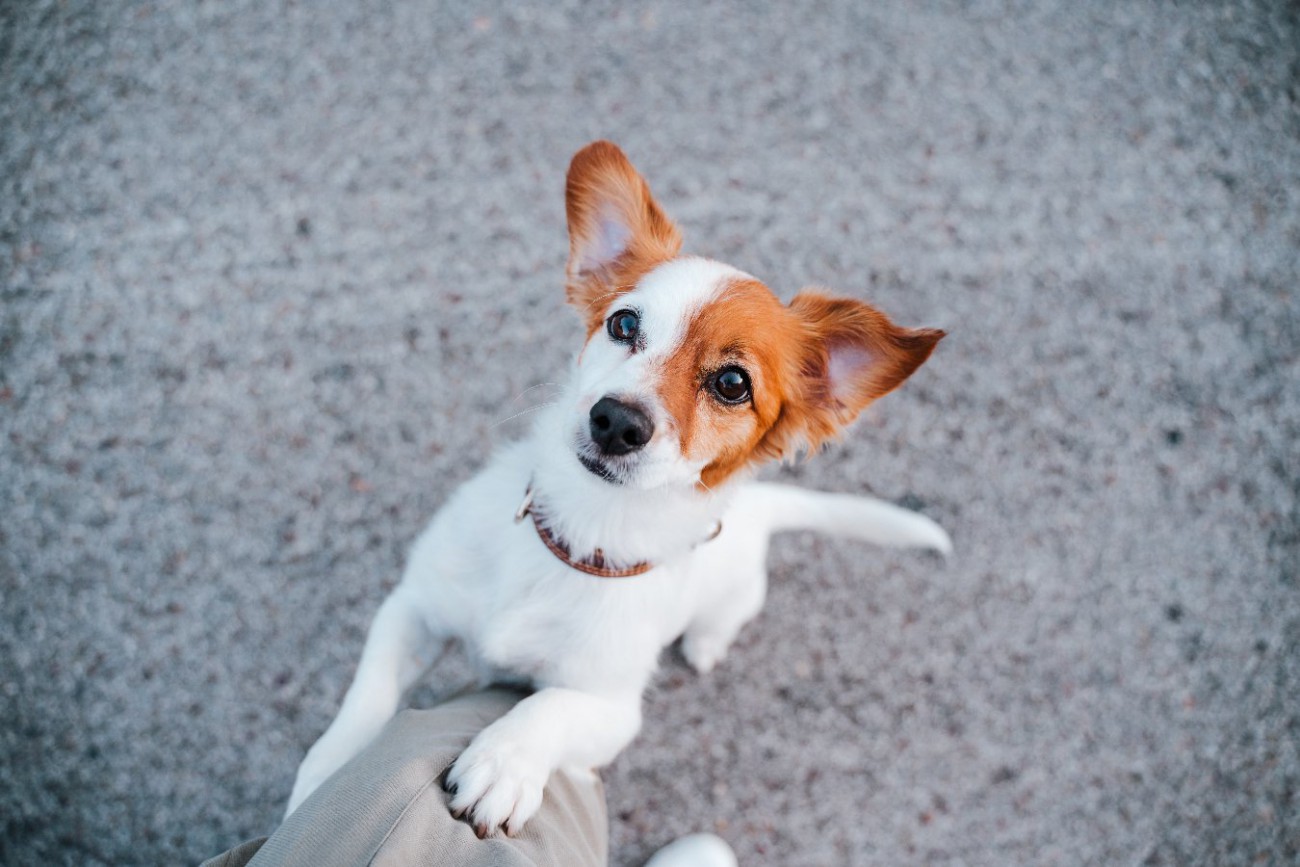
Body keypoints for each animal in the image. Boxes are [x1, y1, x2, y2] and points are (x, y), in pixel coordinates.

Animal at [287, 142, 956, 842]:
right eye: (624, 323)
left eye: (732, 384)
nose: (616, 421)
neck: (582, 530)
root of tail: (760, 509)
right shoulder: (412, 608)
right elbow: (366, 696)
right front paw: (329, 772)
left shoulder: (611, 708)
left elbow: (550, 707)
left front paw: (503, 762)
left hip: (732, 601)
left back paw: (705, 647)